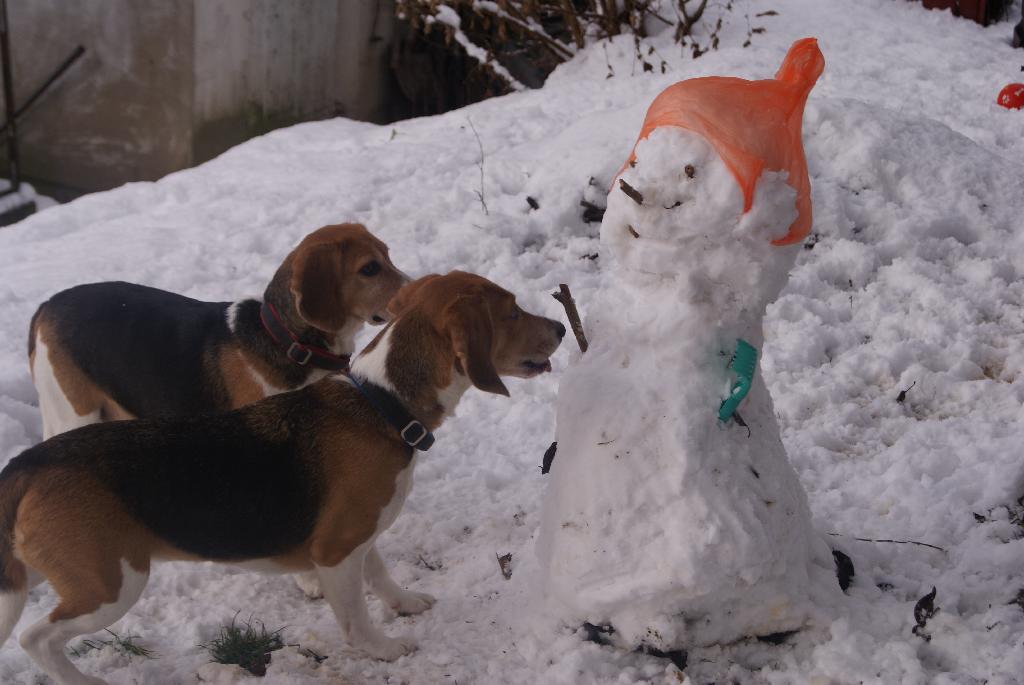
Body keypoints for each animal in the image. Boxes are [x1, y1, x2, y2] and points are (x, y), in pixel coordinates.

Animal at [0, 271, 565, 685]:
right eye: (512, 311)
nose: (561, 329)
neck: (382, 403)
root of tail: (27, 464)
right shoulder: (336, 551)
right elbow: (356, 618)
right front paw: (384, 649)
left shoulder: (359, 533)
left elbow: (380, 572)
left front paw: (404, 603)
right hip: (111, 584)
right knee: (36, 639)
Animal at [28, 223, 407, 439]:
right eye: (369, 269)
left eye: (389, 256)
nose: (413, 288)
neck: (286, 342)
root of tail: (47, 305)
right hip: (73, 411)